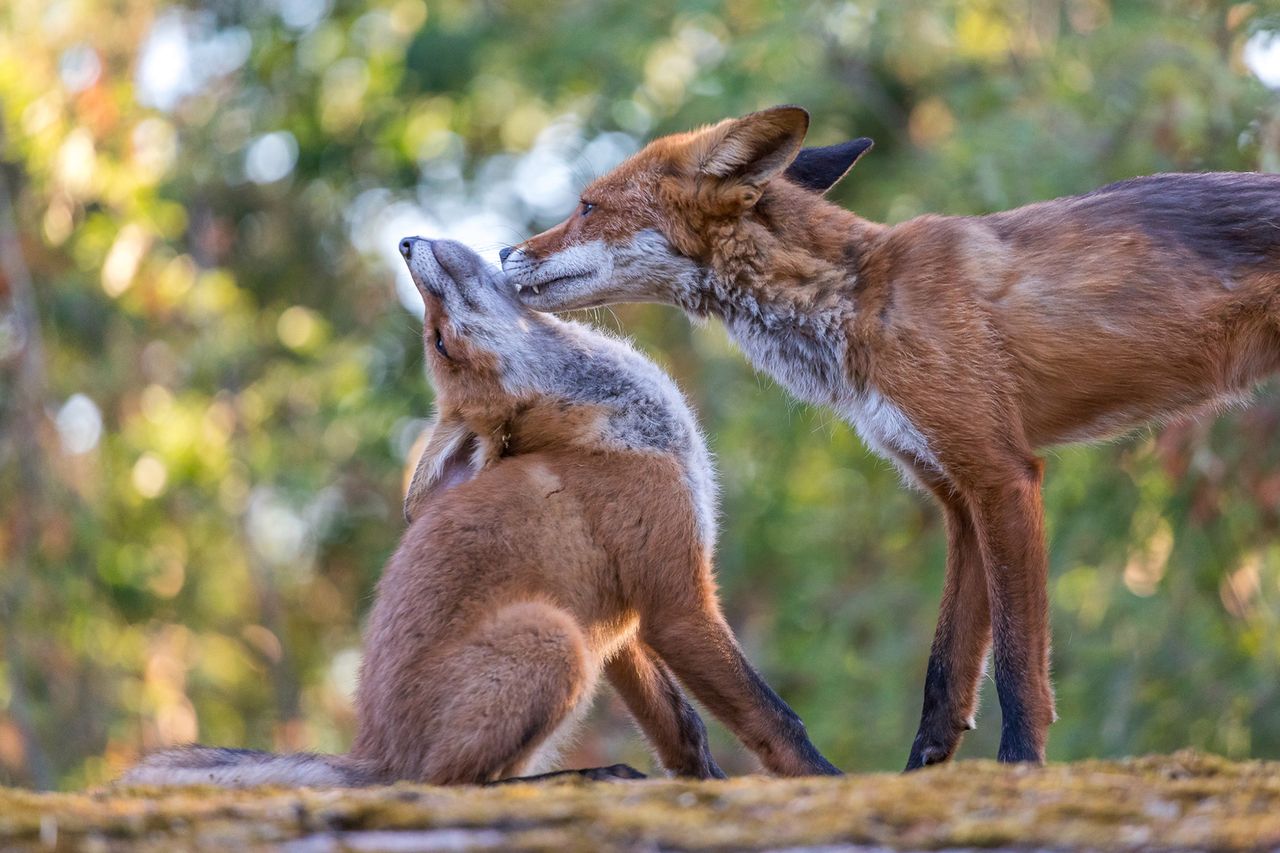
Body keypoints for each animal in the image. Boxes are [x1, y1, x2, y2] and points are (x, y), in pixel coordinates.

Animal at [122, 236, 839, 783]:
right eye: (441, 342)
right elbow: (773, 717)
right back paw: (581, 777)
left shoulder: (624, 628)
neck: (618, 426)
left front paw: (701, 784)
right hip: (551, 640)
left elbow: (682, 728)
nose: (404, 242)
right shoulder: (674, 599)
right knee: (446, 783)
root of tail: (372, 753)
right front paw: (821, 779)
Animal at [499, 104, 1280, 763]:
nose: (504, 252)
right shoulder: (956, 494)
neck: (860, 299)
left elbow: (1018, 666)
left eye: (586, 206)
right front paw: (924, 779)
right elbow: (945, 680)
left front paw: (1021, 767)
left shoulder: (1003, 474)